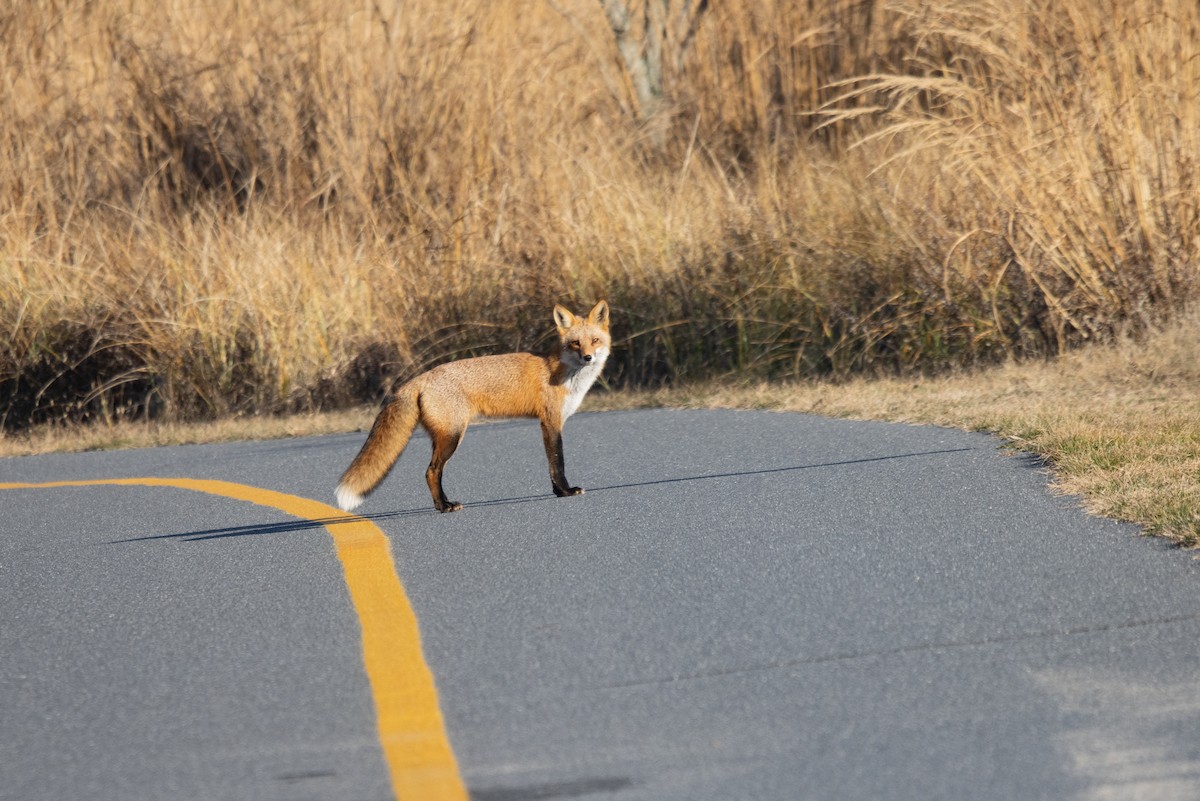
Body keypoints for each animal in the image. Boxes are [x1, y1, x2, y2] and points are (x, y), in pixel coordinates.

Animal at [335, 300, 611, 513]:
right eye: (575, 343)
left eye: (595, 340)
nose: (588, 357)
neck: (560, 371)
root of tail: (418, 378)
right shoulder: (550, 421)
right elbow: (557, 461)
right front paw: (566, 490)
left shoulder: (549, 423)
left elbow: (552, 462)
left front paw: (558, 491)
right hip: (453, 436)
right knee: (431, 471)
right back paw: (444, 507)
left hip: (442, 436)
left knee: (432, 472)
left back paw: (443, 503)